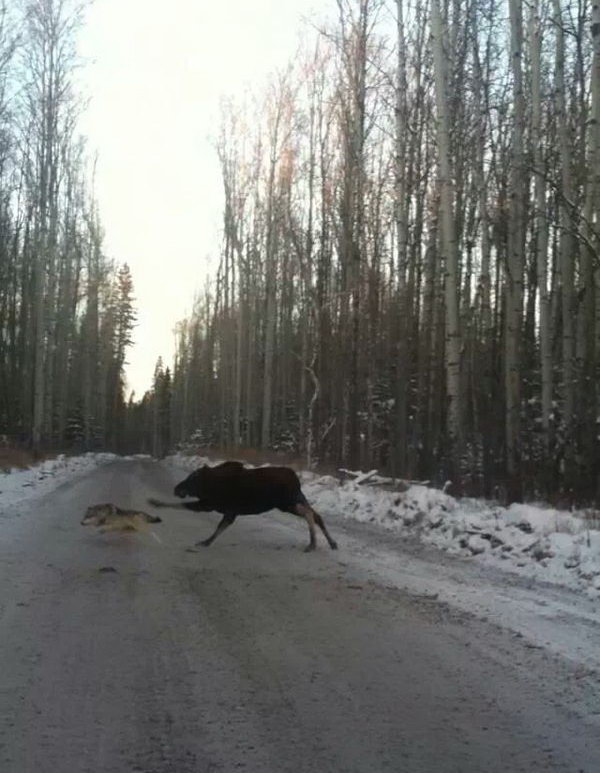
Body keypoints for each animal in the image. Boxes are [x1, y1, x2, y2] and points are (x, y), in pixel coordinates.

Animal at [149, 458, 338, 548]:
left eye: (193, 478)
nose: (176, 489)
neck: (209, 485)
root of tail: (296, 478)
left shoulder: (212, 506)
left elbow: (185, 508)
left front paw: (155, 502)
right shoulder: (227, 511)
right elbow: (220, 528)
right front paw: (207, 541)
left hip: (286, 503)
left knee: (309, 514)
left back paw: (313, 543)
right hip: (295, 499)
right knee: (316, 515)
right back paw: (331, 542)